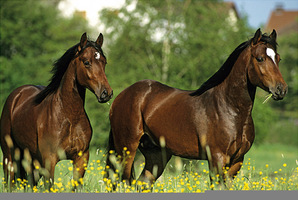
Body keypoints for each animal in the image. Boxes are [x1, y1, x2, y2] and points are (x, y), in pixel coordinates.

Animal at [0, 32, 113, 189]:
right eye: (86, 62)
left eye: (104, 62)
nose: (106, 93)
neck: (69, 116)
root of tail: (16, 95)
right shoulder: (49, 160)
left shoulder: (81, 158)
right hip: (9, 157)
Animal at [106, 28, 288, 189]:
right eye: (260, 58)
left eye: (278, 58)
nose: (281, 89)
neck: (230, 110)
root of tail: (120, 96)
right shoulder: (217, 159)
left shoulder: (237, 161)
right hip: (126, 150)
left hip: (156, 154)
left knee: (141, 184)